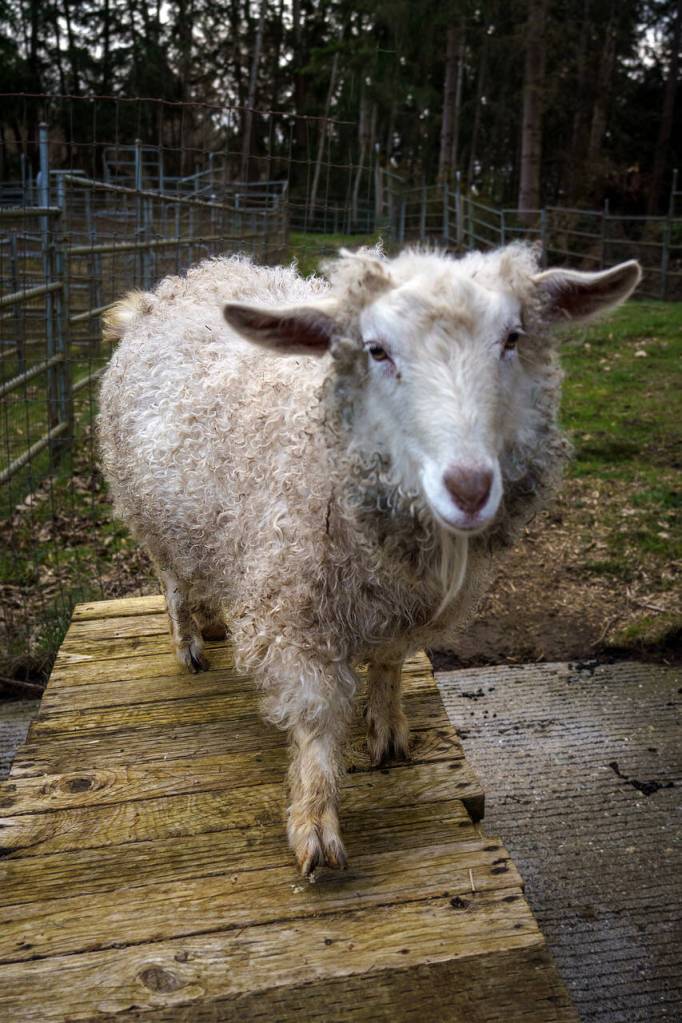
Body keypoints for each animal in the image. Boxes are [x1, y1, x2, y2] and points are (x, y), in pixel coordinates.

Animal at [99, 244, 640, 874]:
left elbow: (388, 660)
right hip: (149, 509)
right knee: (173, 578)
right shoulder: (293, 606)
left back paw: (212, 622)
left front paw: (387, 729)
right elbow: (315, 712)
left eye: (513, 338)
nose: (470, 486)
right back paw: (188, 640)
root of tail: (162, 293)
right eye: (377, 350)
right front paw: (315, 822)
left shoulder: (402, 602)